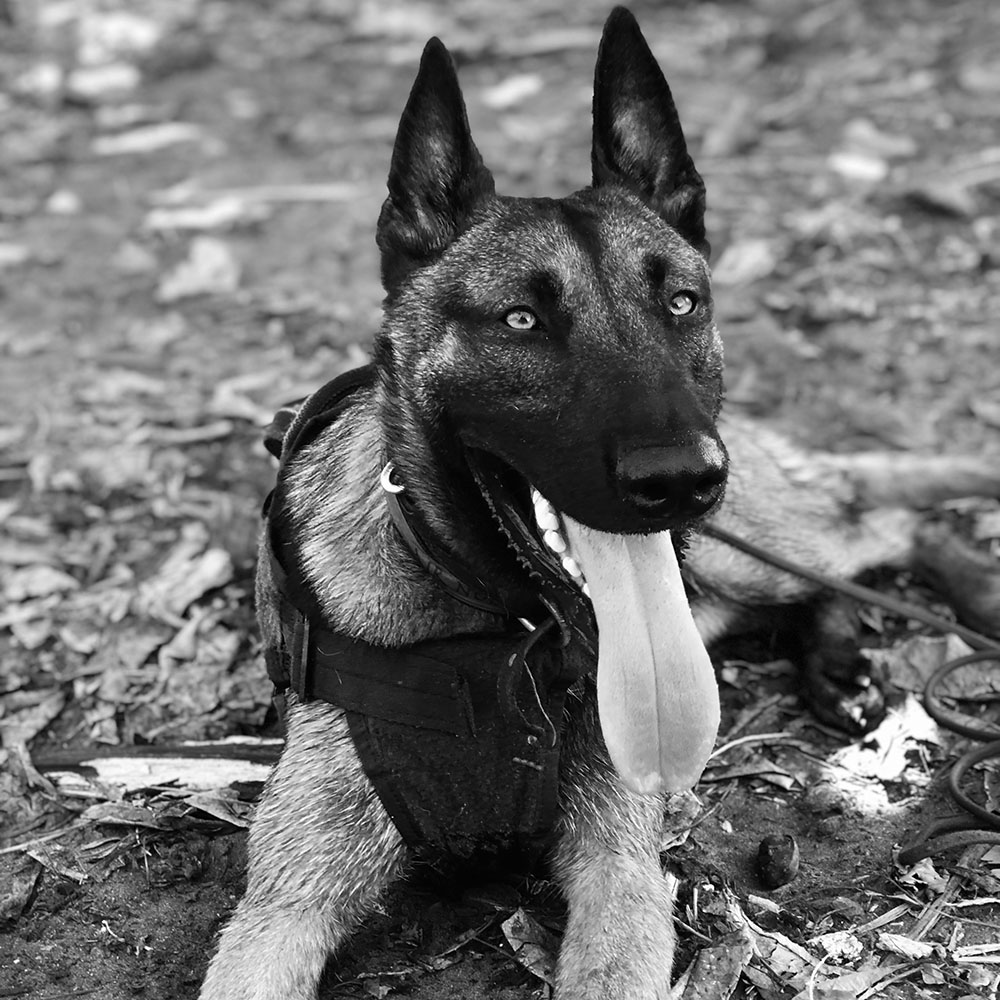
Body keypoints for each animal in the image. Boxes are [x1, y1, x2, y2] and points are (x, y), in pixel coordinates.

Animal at [197, 9, 1000, 1000]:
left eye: (682, 303)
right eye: (520, 321)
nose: (682, 479)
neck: (499, 638)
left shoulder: (620, 873)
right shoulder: (280, 914)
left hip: (740, 547)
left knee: (876, 530)